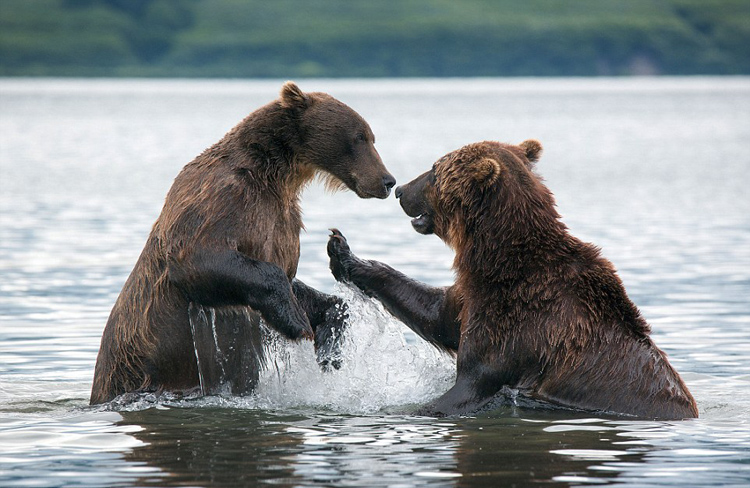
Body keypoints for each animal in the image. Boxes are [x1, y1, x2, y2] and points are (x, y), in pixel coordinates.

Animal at [90, 82, 396, 406]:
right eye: (360, 136)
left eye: (369, 136)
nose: (387, 180)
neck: (279, 174)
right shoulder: (223, 197)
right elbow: (202, 257)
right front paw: (297, 322)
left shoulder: (282, 219)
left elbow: (294, 279)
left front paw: (329, 339)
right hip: (137, 366)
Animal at [328, 138, 700, 420]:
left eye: (434, 171)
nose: (401, 190)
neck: (497, 260)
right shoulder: (474, 295)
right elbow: (436, 314)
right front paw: (342, 253)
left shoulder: (516, 322)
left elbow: (470, 381)